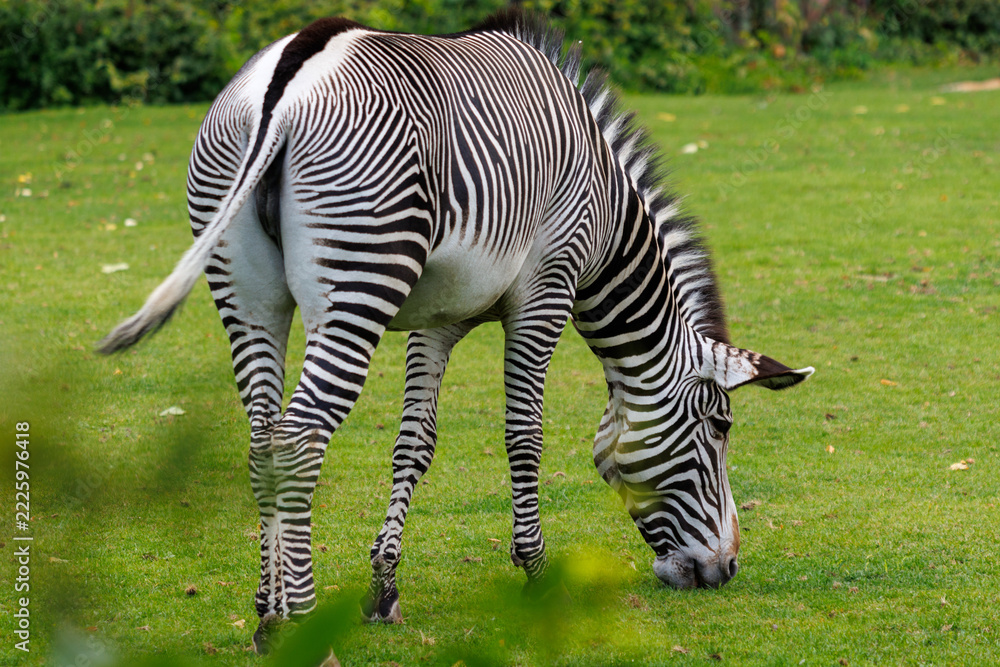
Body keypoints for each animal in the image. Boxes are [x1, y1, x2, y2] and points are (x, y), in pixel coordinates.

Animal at [99, 10, 812, 651]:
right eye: (720, 427)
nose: (726, 571)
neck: (607, 219)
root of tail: (288, 77)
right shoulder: (545, 291)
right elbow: (524, 437)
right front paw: (537, 576)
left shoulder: (439, 321)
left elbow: (414, 444)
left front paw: (383, 589)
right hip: (359, 280)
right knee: (297, 442)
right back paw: (302, 631)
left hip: (247, 291)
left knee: (262, 440)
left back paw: (268, 619)